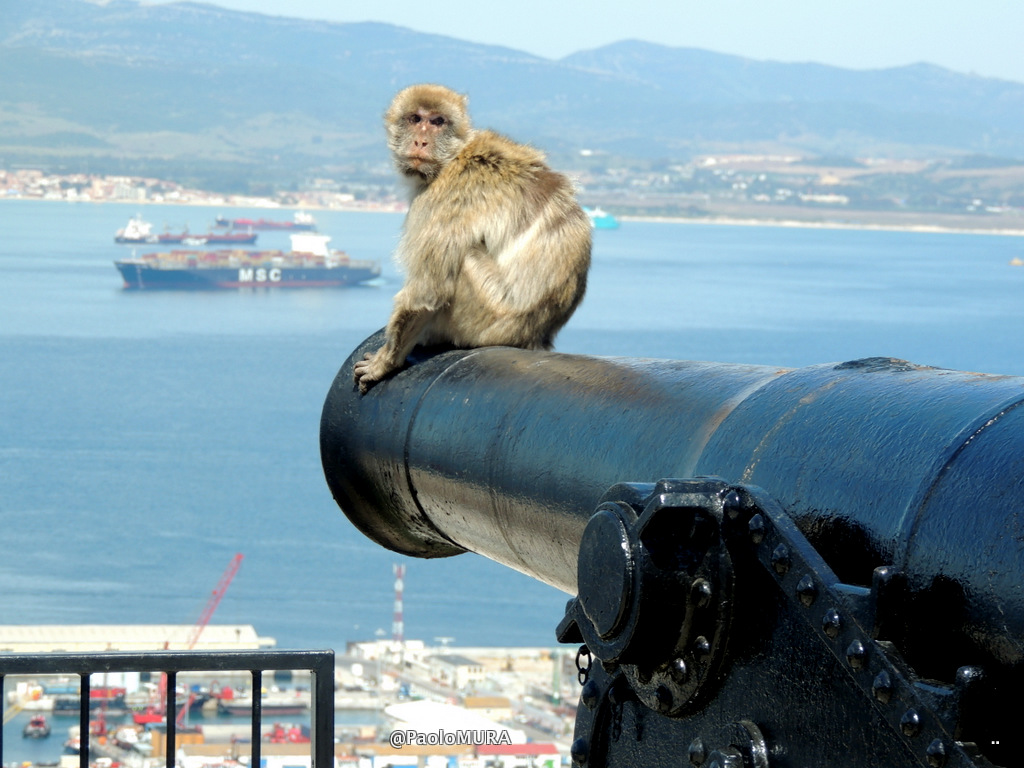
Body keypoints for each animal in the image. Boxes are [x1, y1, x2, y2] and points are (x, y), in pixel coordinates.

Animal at [354, 83, 589, 393]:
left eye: (437, 121)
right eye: (415, 119)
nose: (420, 141)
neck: (454, 156)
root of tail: (534, 337)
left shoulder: (442, 200)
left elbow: (427, 291)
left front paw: (385, 363)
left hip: (485, 319)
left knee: (463, 257)